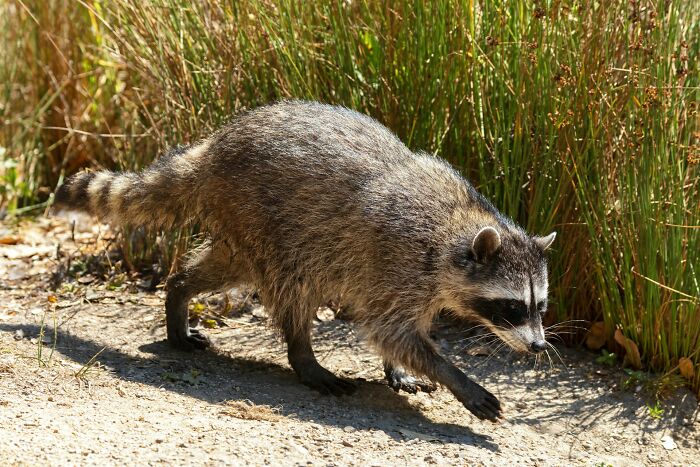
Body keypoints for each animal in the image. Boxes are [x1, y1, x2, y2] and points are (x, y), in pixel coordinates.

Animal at [54, 101, 556, 422]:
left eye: (541, 306)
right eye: (512, 307)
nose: (537, 346)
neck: (459, 223)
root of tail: (213, 146)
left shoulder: (416, 279)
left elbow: (397, 335)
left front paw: (397, 368)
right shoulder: (397, 260)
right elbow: (391, 331)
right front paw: (459, 379)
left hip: (243, 224)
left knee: (223, 266)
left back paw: (177, 291)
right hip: (263, 217)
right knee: (292, 287)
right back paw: (303, 356)